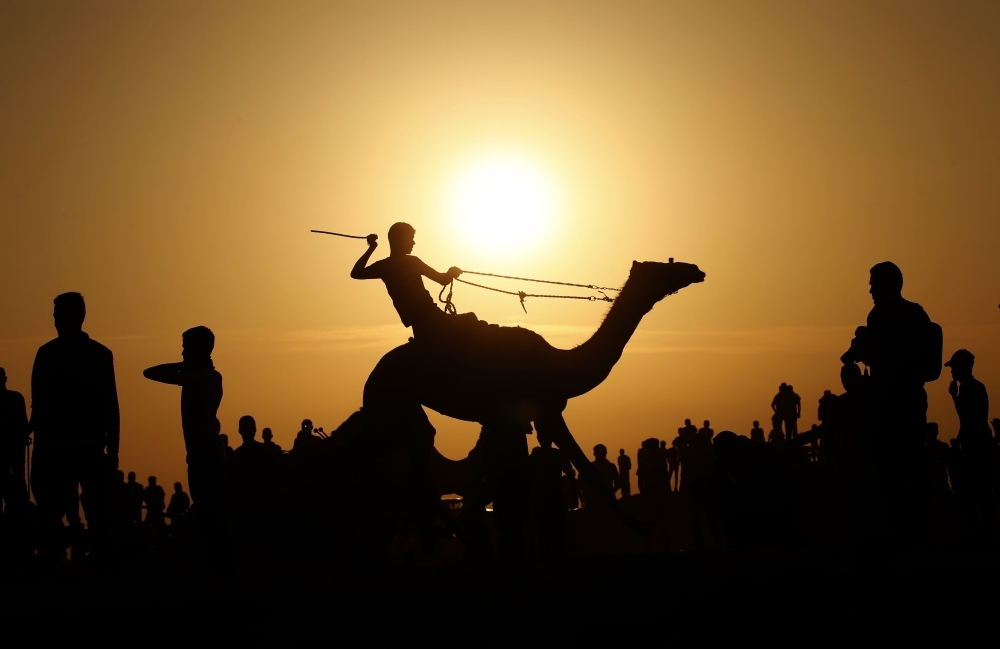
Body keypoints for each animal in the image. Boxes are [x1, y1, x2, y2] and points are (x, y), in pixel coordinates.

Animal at [362, 258, 704, 536]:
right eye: (663, 267)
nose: (696, 269)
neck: (561, 364)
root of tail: (374, 372)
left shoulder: (521, 420)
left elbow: (497, 481)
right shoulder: (545, 413)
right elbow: (585, 470)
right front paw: (642, 526)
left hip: (403, 408)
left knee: (420, 457)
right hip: (385, 402)